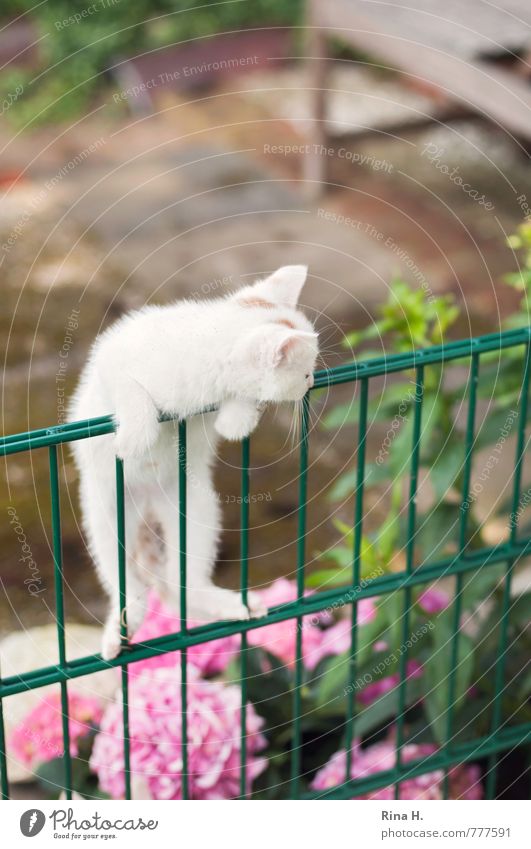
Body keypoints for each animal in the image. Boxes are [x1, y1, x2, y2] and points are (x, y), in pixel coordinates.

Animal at [70, 262, 320, 660]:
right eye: (306, 371)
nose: (312, 381)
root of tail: (149, 504)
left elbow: (231, 415)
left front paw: (237, 417)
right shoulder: (111, 353)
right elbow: (130, 388)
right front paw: (134, 437)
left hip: (194, 507)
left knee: (179, 585)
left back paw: (228, 606)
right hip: (106, 511)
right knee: (125, 579)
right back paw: (120, 629)